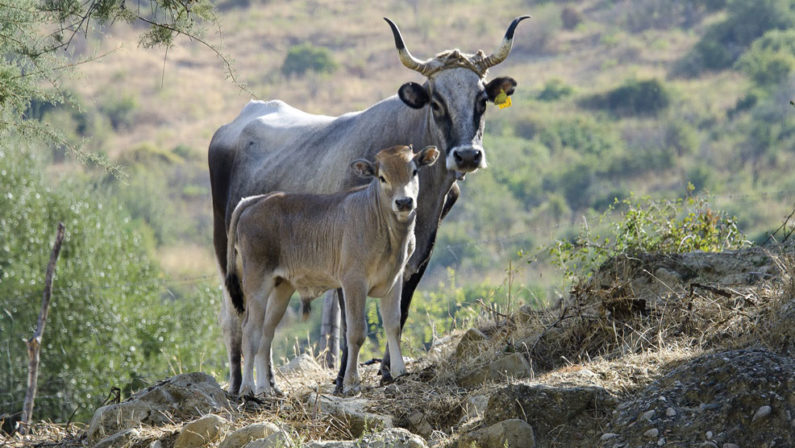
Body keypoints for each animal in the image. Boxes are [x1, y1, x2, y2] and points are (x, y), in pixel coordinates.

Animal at [225, 145, 442, 394]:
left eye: (414, 171)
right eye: (382, 177)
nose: (404, 201)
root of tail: (255, 200)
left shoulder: (394, 279)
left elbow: (393, 324)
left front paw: (399, 371)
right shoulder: (354, 281)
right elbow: (356, 331)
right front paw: (351, 382)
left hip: (282, 286)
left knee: (266, 333)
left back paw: (264, 389)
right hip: (256, 281)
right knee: (250, 331)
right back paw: (248, 389)